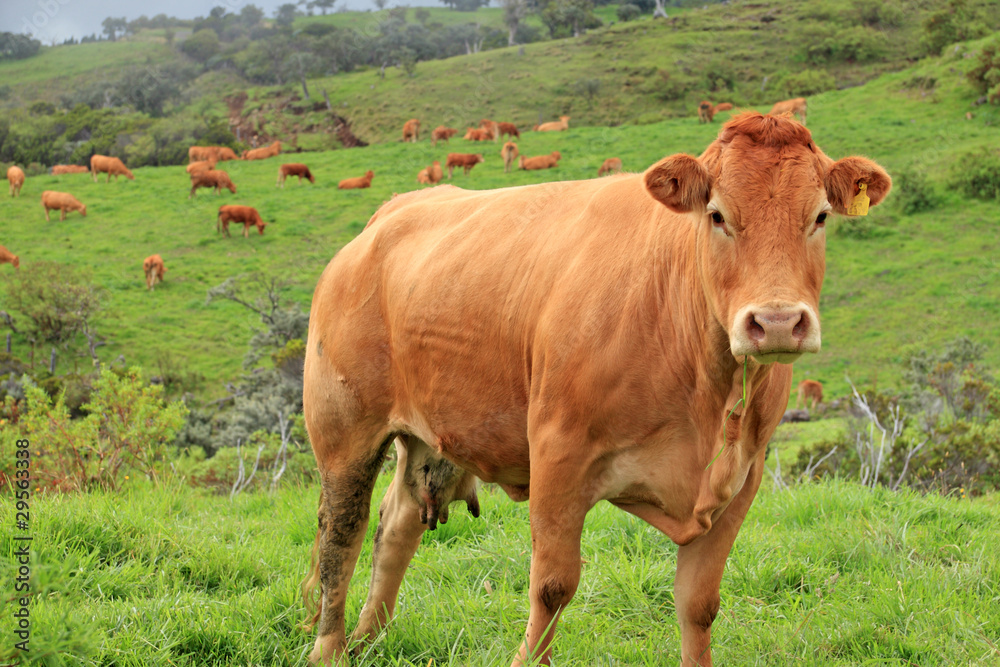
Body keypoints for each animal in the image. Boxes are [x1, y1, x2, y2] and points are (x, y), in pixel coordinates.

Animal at [298, 113, 892, 667]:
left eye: (820, 216)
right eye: (718, 215)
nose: (776, 322)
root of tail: (392, 212)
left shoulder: (742, 477)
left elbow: (699, 604)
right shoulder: (557, 457)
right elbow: (551, 587)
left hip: (432, 433)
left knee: (396, 524)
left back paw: (371, 637)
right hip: (345, 434)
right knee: (340, 540)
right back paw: (331, 647)